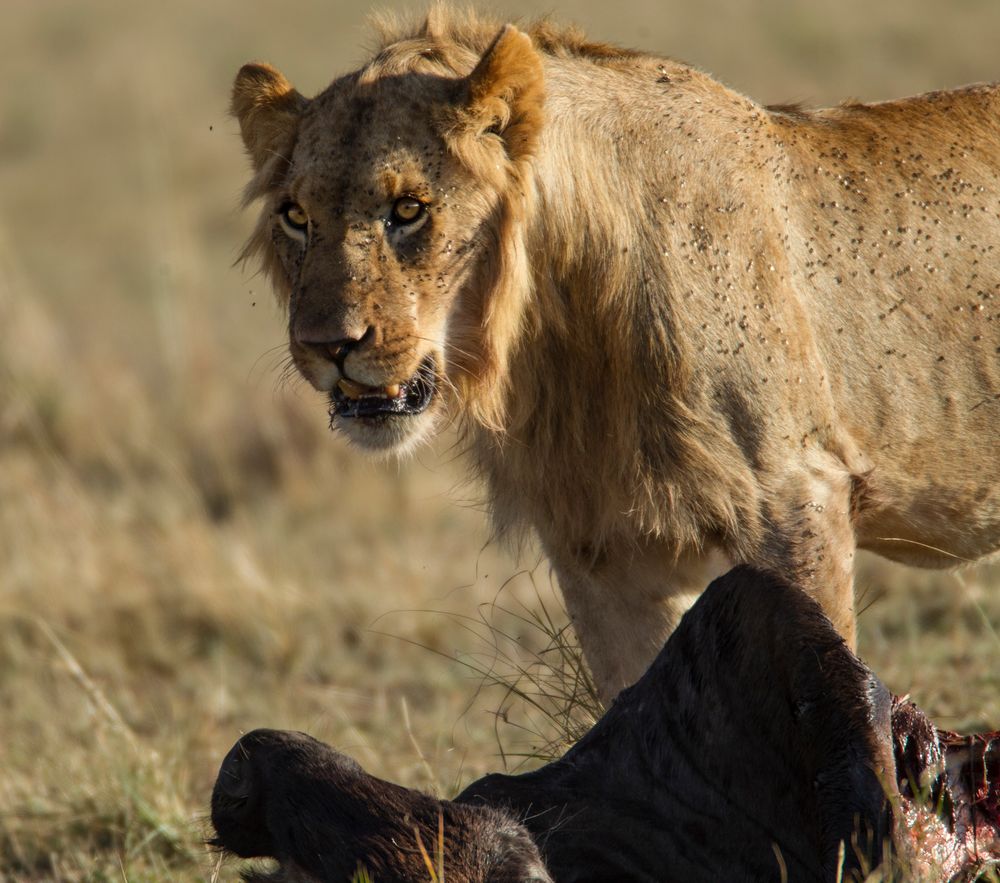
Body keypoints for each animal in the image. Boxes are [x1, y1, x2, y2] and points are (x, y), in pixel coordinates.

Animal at [232, 5, 1000, 696]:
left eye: (409, 209)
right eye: (296, 217)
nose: (327, 345)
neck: (559, 329)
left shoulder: (798, 495)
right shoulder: (603, 551)